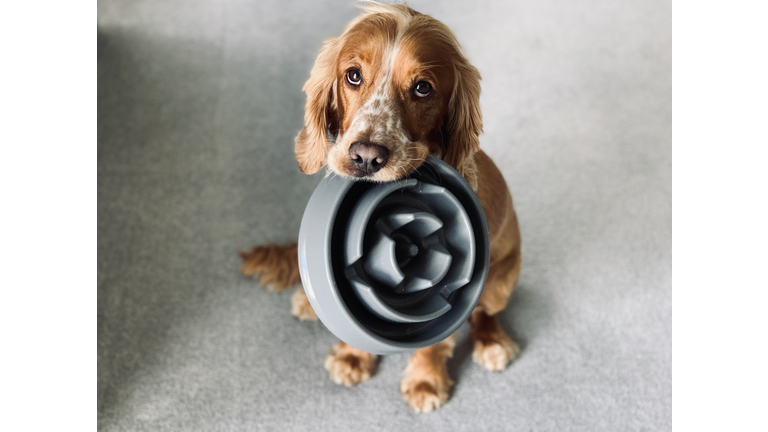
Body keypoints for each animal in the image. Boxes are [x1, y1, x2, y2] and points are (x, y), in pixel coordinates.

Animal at [240, 4, 520, 416]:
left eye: (423, 87)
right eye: (353, 75)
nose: (366, 157)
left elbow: (437, 338)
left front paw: (425, 380)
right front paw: (353, 357)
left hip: (502, 280)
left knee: (487, 313)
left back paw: (493, 343)